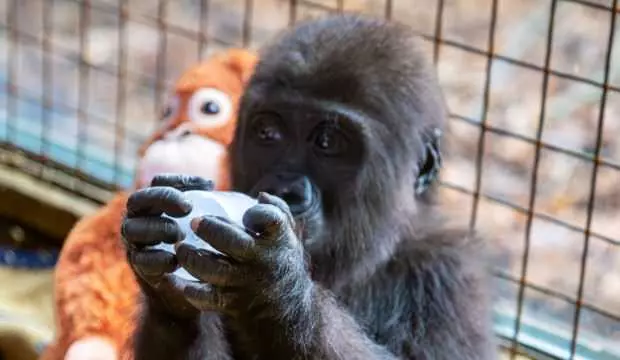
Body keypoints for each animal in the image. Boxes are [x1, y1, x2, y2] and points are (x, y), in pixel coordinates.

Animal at [122, 14, 498, 360]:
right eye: (268, 134)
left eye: (327, 142)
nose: (285, 189)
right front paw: (164, 295)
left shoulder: (449, 275)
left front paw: (276, 290)